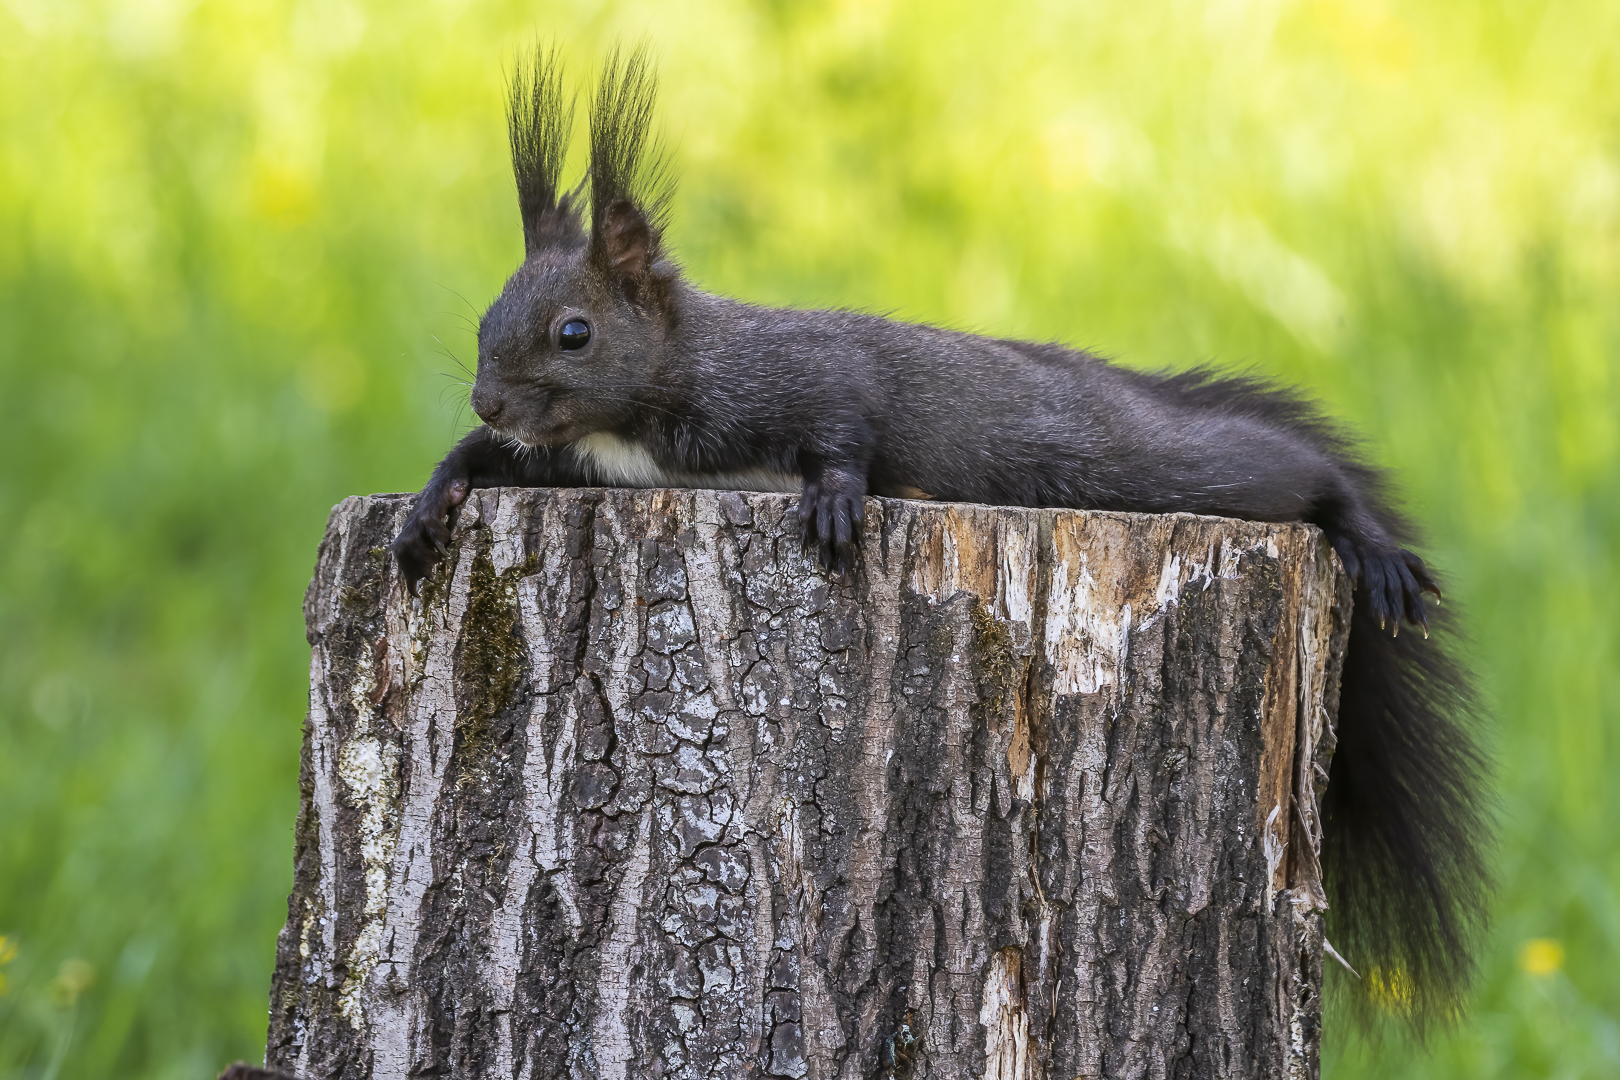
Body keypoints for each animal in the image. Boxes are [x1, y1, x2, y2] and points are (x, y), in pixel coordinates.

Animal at [395, 46, 1490, 1029]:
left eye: (574, 334)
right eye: (488, 321)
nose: (491, 397)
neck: (651, 405)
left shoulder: (811, 381)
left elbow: (845, 431)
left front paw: (835, 501)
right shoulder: (582, 462)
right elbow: (492, 464)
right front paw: (427, 504)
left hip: (1135, 464)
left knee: (1291, 475)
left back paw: (1368, 541)